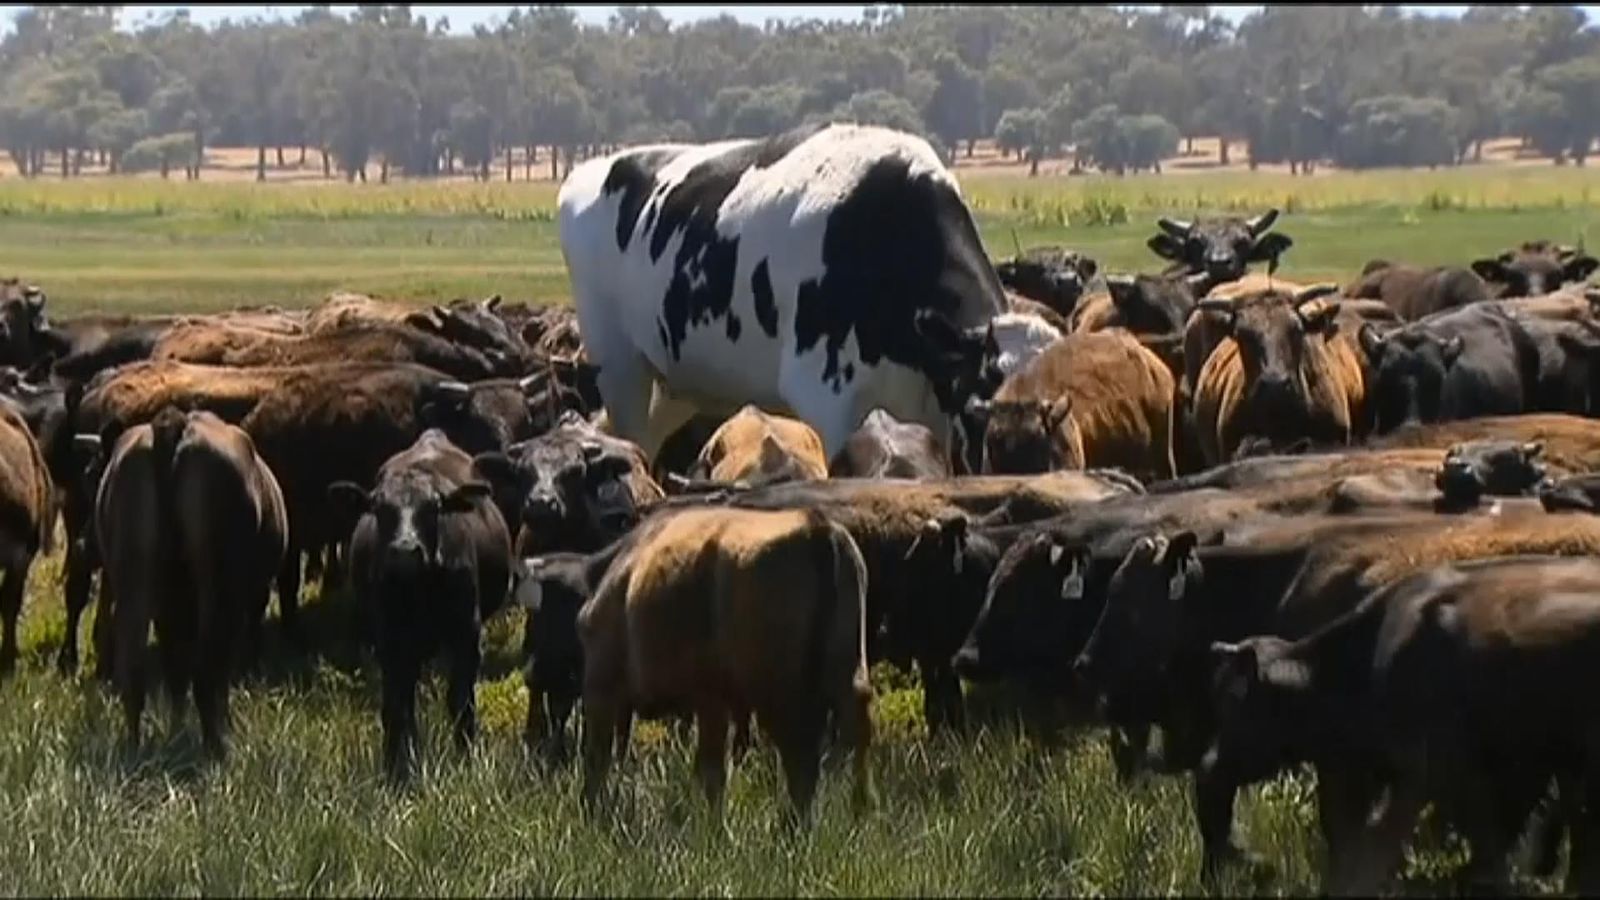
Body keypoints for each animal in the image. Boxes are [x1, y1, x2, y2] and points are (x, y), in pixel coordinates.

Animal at [330, 429, 512, 781]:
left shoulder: (467, 634)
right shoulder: (389, 640)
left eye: (434, 508)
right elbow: (395, 705)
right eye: (380, 509)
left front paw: (465, 758)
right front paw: (396, 768)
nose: (405, 551)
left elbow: (460, 701)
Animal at [557, 122, 1007, 464]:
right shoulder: (823, 395)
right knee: (631, 438)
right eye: (979, 413)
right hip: (617, 363)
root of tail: (595, 167)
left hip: (676, 377)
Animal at [573, 505, 874, 825]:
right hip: (844, 672)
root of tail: (818, 528)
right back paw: (850, 811)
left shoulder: (606, 688)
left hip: (778, 694)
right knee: (846, 733)